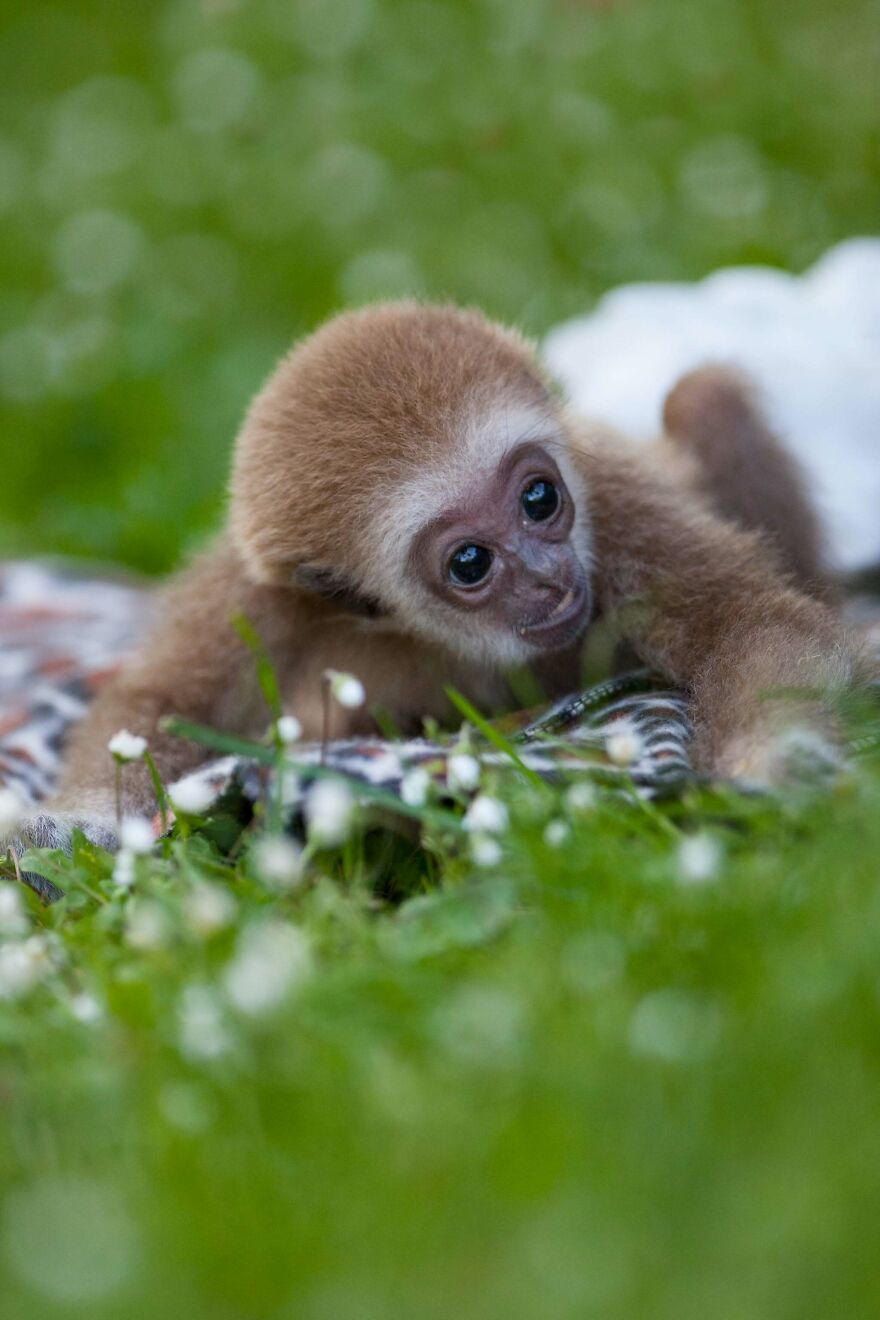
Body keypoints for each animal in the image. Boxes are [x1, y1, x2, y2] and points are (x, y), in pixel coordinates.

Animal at [4, 301, 864, 860]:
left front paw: (774, 764)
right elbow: (166, 698)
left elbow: (745, 620)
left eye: (540, 499)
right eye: (470, 563)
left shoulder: (616, 506)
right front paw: (77, 822)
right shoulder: (250, 595)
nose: (549, 578)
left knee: (703, 397)